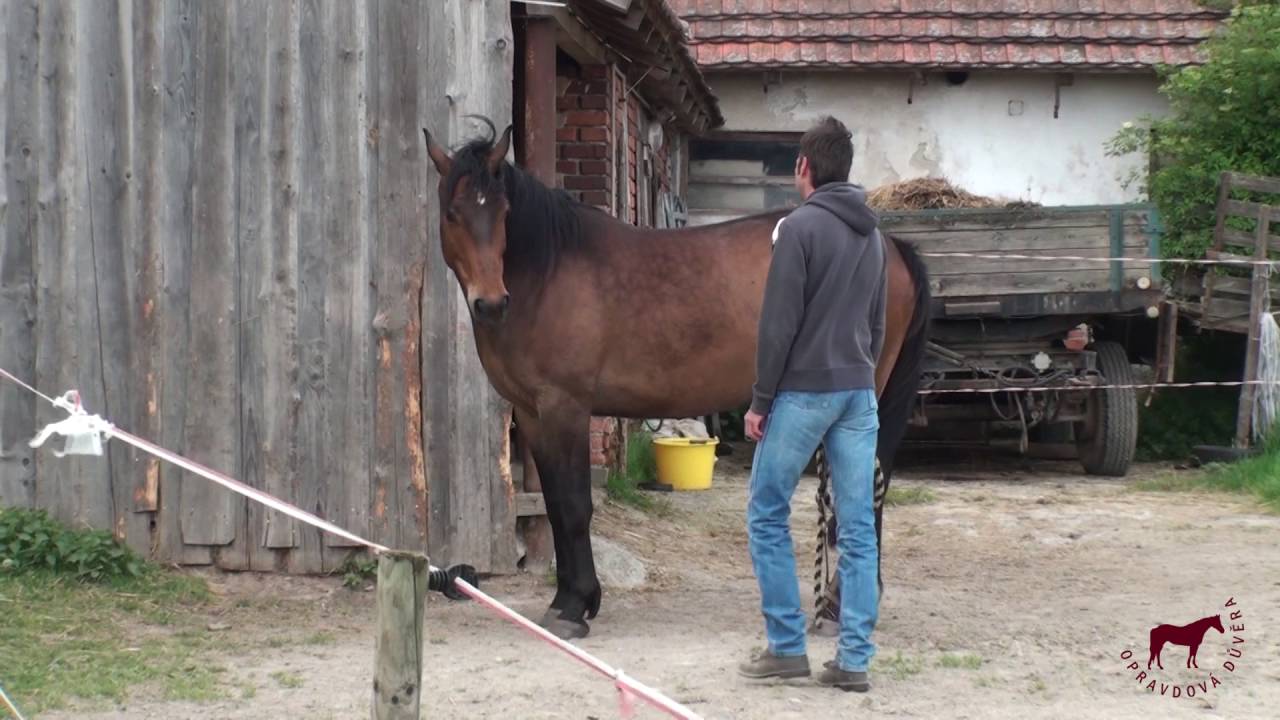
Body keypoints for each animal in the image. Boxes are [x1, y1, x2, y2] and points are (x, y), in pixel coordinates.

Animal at [422, 118, 931, 640]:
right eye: (452, 214)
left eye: (503, 213)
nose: (491, 303)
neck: (547, 272)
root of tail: (890, 247)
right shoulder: (533, 414)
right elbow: (556, 506)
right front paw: (569, 599)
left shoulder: (566, 408)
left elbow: (574, 506)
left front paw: (575, 606)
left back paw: (838, 605)